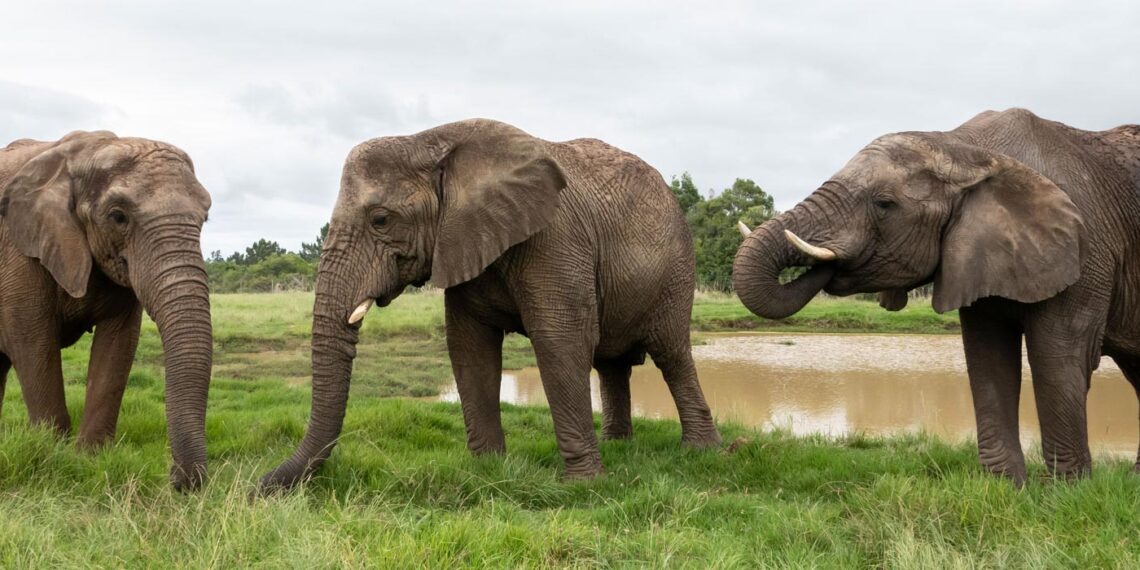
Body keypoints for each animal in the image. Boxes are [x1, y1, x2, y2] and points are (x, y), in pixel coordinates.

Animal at [0, 131, 213, 490]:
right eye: (118, 216)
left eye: (205, 217)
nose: (178, 480)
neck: (84, 152)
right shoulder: (16, 248)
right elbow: (33, 341)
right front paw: (53, 452)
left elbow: (119, 344)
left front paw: (91, 457)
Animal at [260, 119, 721, 491]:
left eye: (381, 220)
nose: (260, 485)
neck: (429, 141)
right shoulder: (463, 241)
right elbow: (470, 347)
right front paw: (487, 469)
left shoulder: (554, 240)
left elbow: (560, 343)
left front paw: (584, 486)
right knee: (612, 365)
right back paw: (619, 445)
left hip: (676, 272)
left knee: (671, 354)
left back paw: (700, 452)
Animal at [733, 108, 1140, 484]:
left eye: (884, 204)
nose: (828, 264)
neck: (963, 147)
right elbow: (987, 356)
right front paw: (1005, 487)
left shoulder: (1087, 250)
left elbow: (1058, 357)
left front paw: (1064, 492)